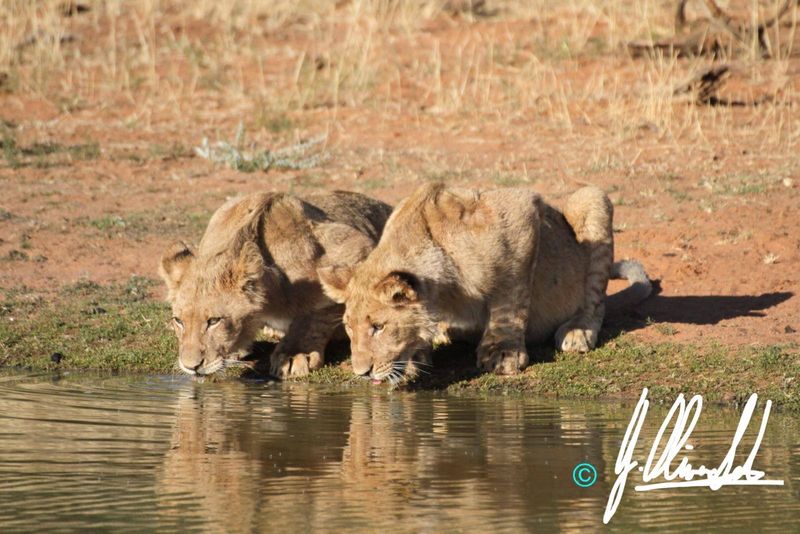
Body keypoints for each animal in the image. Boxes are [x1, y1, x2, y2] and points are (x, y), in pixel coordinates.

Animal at [159, 190, 392, 378]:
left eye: (214, 321)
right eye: (178, 321)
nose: (191, 367)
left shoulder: (355, 249)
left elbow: (316, 315)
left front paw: (295, 354)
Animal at [318, 184, 651, 383]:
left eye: (379, 327)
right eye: (349, 328)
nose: (361, 373)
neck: (444, 294)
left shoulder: (519, 212)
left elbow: (511, 298)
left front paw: (503, 353)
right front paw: (415, 356)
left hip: (591, 199)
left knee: (595, 302)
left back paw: (578, 331)